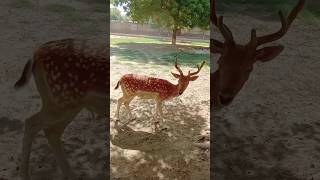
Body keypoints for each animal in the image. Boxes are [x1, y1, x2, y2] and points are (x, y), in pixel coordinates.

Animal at [14, 38, 109, 179]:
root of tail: (37, 52)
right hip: (62, 100)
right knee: (31, 122)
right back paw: (25, 175)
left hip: (63, 103)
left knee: (51, 131)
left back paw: (70, 174)